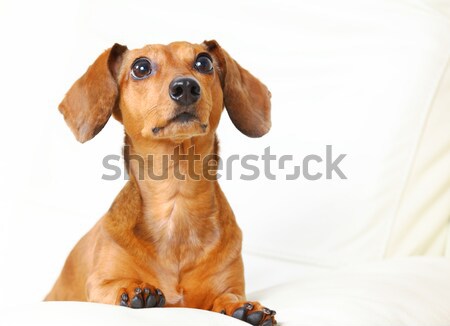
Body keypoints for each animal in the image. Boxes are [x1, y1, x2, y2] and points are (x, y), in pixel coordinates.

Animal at [47, 39, 276, 324]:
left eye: (204, 62)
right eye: (141, 67)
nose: (186, 87)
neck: (176, 200)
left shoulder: (228, 285)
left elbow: (228, 296)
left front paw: (241, 306)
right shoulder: (99, 284)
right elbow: (114, 284)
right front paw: (134, 289)